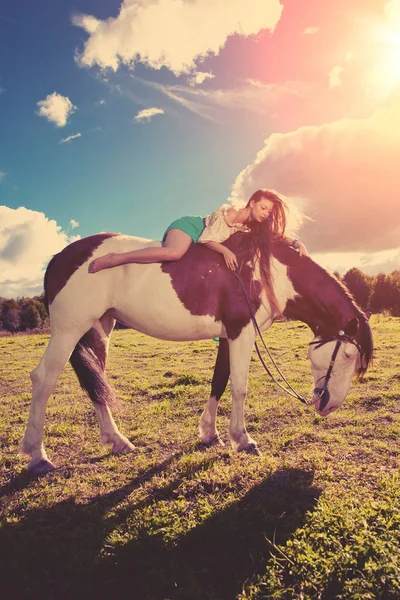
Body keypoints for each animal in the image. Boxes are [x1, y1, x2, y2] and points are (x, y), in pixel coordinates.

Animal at [20, 230, 374, 474]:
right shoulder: (242, 333)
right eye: (347, 355)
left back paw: (117, 441)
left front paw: (209, 433)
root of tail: (59, 257)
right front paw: (243, 439)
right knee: (44, 379)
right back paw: (38, 456)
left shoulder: (228, 337)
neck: (266, 271)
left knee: (97, 384)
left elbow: (219, 381)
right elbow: (239, 387)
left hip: (98, 329)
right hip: (69, 329)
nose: (329, 405)